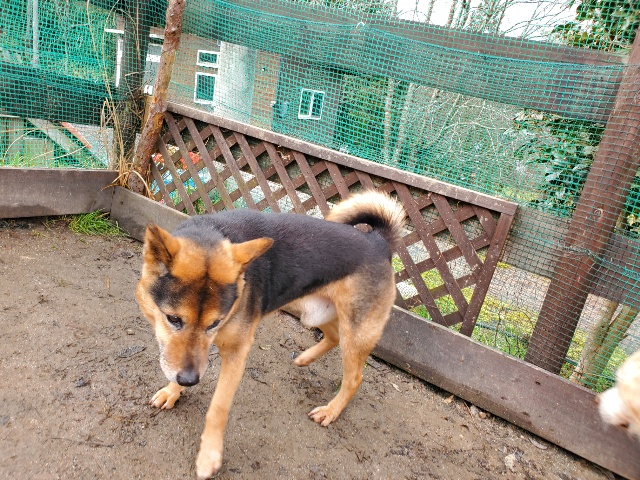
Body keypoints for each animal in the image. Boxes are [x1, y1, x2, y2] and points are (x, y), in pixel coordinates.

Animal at [135, 190, 406, 479]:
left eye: (215, 323)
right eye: (173, 319)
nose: (189, 381)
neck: (211, 232)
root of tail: (378, 242)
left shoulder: (236, 353)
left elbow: (218, 407)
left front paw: (209, 455)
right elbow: (176, 363)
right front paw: (172, 391)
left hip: (356, 332)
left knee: (353, 377)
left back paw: (331, 411)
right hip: (312, 312)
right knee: (333, 337)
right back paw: (305, 359)